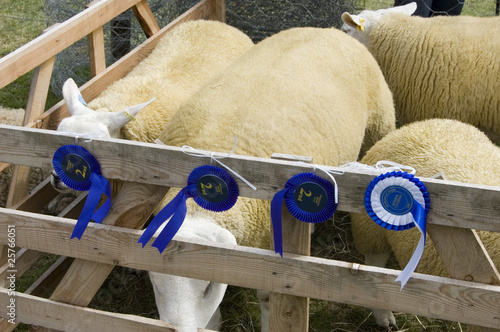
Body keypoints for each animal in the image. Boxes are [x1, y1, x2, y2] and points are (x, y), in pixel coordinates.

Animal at [150, 24, 396, 330]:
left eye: (208, 286)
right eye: (155, 281)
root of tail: (326, 28)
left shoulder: (271, 256)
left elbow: (268, 298)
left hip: (381, 122)